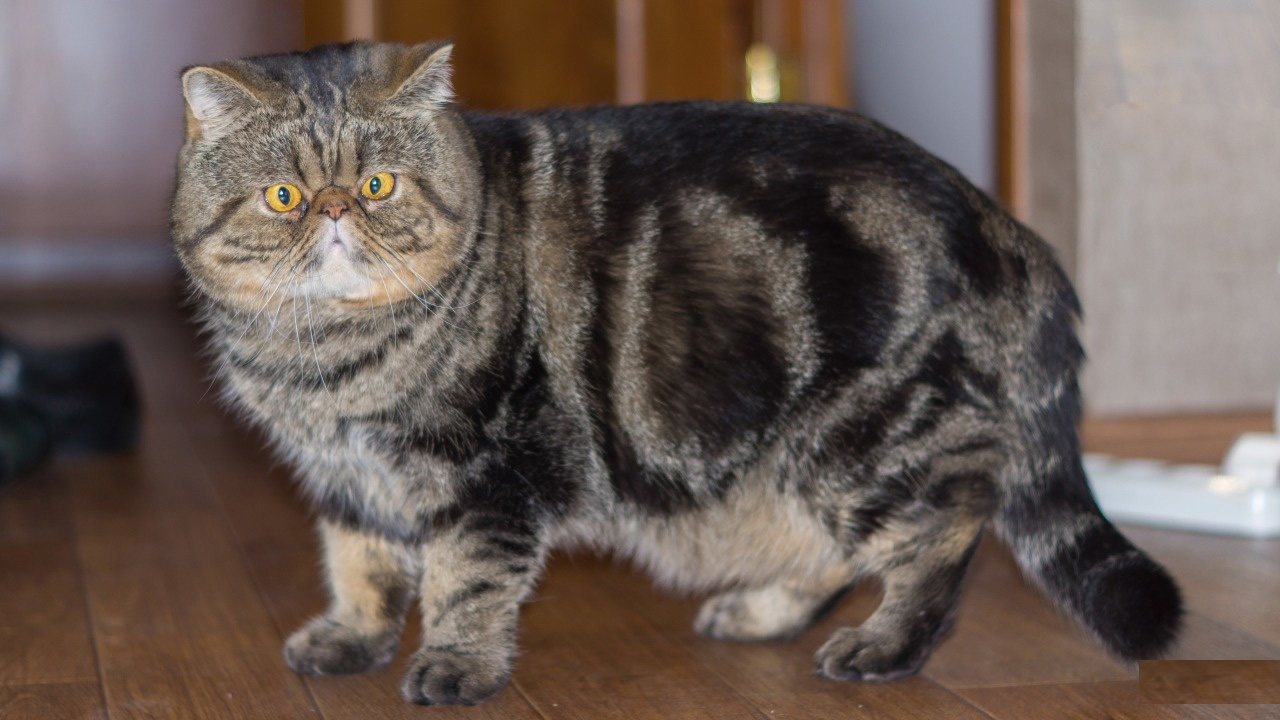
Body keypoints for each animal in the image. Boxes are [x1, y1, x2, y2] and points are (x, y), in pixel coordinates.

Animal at [167, 41, 1177, 702]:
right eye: (284, 197)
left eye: (376, 186)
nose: (336, 209)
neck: (324, 363)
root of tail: (1001, 221)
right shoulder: (348, 480)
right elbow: (362, 565)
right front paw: (352, 640)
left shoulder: (489, 478)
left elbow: (465, 582)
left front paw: (456, 666)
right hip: (793, 464)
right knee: (830, 550)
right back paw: (759, 612)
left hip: (865, 438)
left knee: (945, 528)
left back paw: (884, 648)